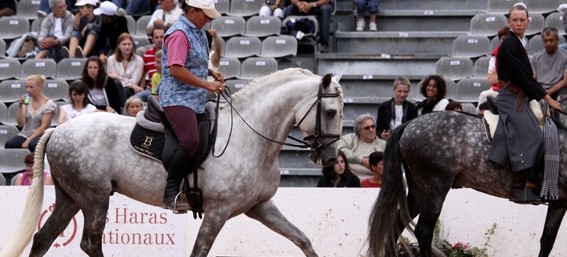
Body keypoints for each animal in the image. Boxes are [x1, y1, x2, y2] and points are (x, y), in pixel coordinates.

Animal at [0, 68, 344, 256]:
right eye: (330, 112)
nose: (330, 158)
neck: (251, 135)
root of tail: (58, 131)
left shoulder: (260, 207)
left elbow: (303, 240)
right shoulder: (217, 212)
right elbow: (199, 251)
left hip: (71, 198)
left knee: (43, 239)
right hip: (93, 198)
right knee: (89, 244)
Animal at [368, 103, 567, 255]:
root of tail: (409, 124)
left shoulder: (560, 203)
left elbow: (547, 240)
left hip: (418, 190)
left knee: (397, 224)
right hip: (436, 189)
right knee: (423, 231)